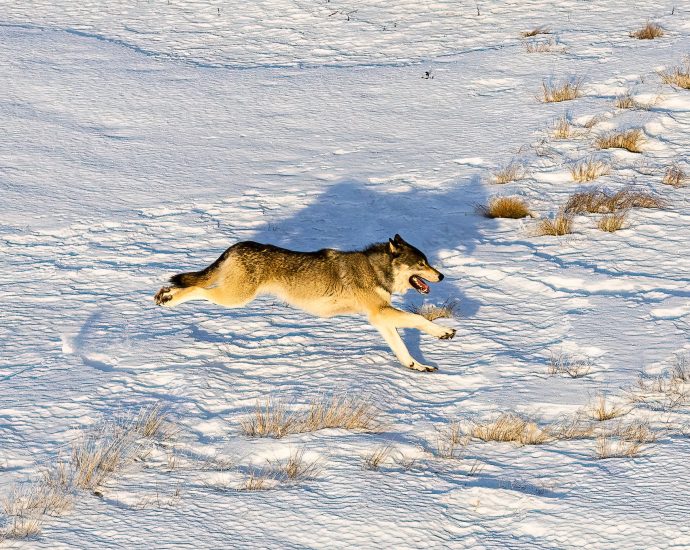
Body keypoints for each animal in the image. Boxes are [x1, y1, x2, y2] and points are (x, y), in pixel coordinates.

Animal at [154, 234, 455, 371]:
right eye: (421, 264)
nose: (441, 275)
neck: (375, 269)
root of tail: (237, 245)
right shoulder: (379, 312)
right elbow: (418, 319)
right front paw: (444, 332)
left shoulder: (380, 318)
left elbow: (401, 349)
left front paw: (417, 366)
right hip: (235, 298)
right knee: (195, 289)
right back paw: (167, 298)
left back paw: (164, 294)